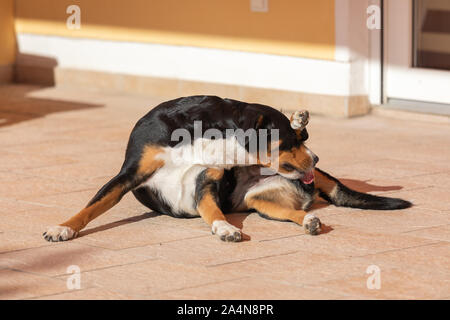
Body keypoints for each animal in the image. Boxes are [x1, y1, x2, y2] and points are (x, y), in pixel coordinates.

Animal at [42, 96, 412, 241]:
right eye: (288, 142)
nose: (316, 159)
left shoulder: (204, 182)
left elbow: (211, 210)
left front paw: (223, 229)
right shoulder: (128, 175)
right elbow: (91, 206)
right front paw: (64, 228)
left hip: (264, 201)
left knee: (297, 213)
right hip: (262, 202)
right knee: (293, 212)